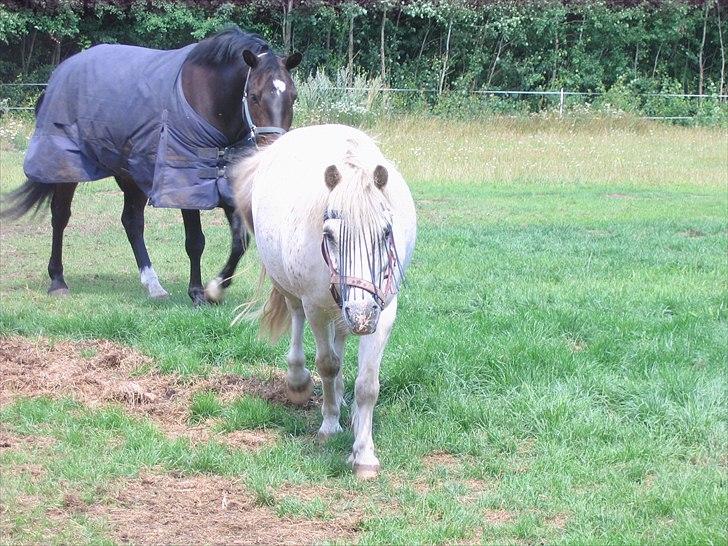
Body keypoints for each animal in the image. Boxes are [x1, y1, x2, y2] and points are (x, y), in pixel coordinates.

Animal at [1, 27, 300, 304]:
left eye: (293, 97)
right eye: (254, 95)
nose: (273, 148)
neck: (207, 102)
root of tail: (61, 72)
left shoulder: (225, 186)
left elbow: (240, 241)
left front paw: (215, 288)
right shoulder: (184, 185)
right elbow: (195, 241)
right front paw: (197, 292)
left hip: (131, 174)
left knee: (132, 223)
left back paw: (153, 284)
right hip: (66, 167)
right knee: (60, 217)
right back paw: (58, 281)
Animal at [230, 122, 418, 476]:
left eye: (386, 232)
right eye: (329, 235)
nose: (361, 313)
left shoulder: (383, 312)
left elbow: (367, 384)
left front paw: (364, 452)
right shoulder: (316, 307)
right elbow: (327, 365)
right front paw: (329, 426)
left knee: (341, 340)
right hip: (295, 295)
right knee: (299, 328)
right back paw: (299, 382)